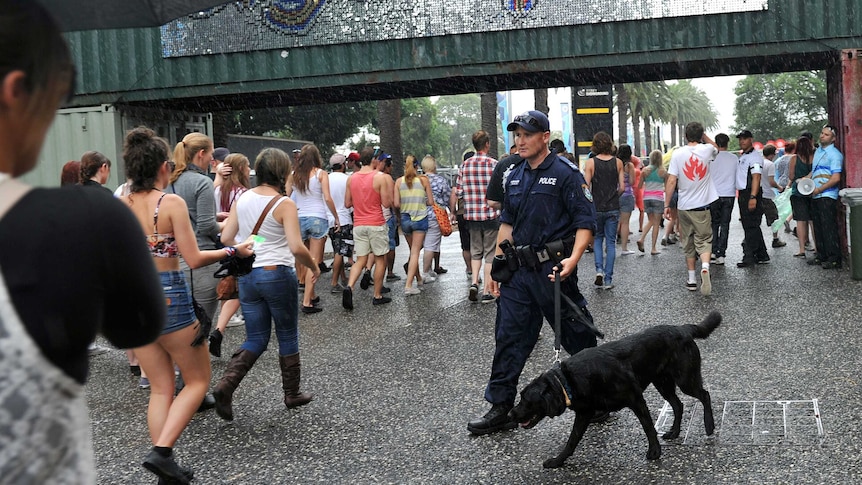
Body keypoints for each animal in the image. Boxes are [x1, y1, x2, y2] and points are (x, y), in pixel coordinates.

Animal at [512, 310, 724, 466]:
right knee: (678, 405)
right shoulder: (584, 414)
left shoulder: (636, 399)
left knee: (704, 395)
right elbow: (572, 441)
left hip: (685, 379)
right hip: (663, 383)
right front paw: (558, 461)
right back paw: (674, 432)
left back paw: (709, 424)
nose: (510, 414)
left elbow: (648, 427)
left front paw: (655, 451)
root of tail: (683, 328)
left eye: (526, 400)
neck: (566, 380)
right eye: (520, 397)